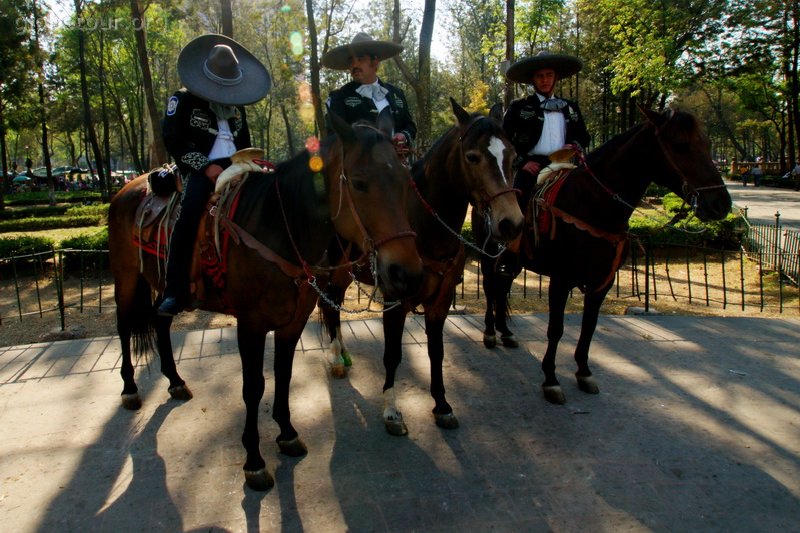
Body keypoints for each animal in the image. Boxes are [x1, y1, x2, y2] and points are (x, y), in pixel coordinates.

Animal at [109, 113, 428, 490]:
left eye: (406, 184)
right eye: (360, 183)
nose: (407, 274)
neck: (279, 227)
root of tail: (129, 187)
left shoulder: (294, 321)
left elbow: (283, 374)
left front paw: (287, 433)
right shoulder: (250, 325)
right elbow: (253, 387)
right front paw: (254, 461)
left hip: (167, 285)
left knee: (160, 318)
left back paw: (175, 381)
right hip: (126, 277)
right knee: (124, 326)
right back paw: (130, 388)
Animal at [318, 97, 524, 434]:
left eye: (514, 157)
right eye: (472, 156)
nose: (511, 223)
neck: (426, 226)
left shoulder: (440, 301)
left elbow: (436, 352)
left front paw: (442, 405)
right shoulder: (395, 300)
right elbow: (392, 354)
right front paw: (391, 410)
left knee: (332, 303)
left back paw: (343, 354)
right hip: (331, 267)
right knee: (327, 304)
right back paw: (335, 358)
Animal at [476, 105, 732, 404]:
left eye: (707, 144)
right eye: (680, 145)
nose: (720, 204)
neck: (593, 204)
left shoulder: (603, 283)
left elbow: (589, 326)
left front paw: (584, 372)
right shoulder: (561, 280)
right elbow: (556, 329)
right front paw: (551, 379)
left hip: (514, 261)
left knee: (502, 286)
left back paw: (505, 332)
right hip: (488, 253)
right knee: (491, 288)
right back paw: (490, 332)